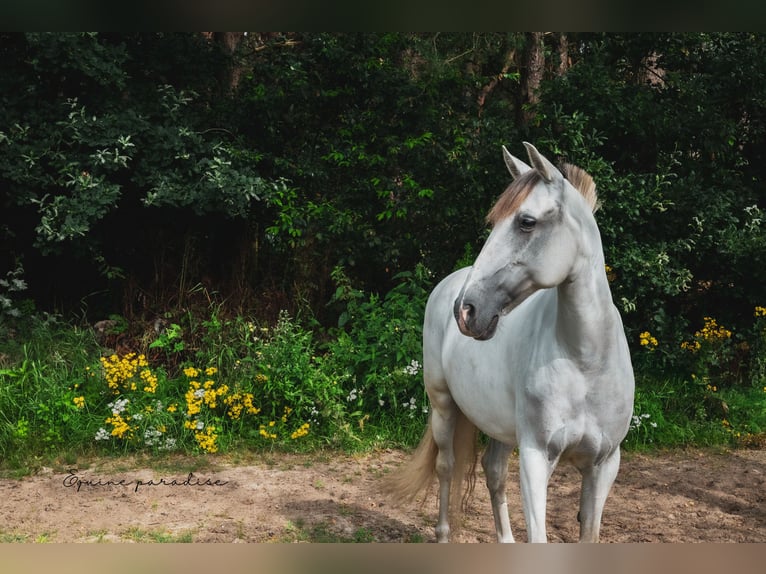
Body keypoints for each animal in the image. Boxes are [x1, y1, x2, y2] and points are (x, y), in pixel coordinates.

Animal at [390, 142, 636, 544]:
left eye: (526, 222)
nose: (466, 310)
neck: (585, 362)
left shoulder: (604, 465)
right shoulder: (536, 457)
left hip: (499, 425)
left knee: (493, 472)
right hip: (443, 406)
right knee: (446, 467)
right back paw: (443, 534)